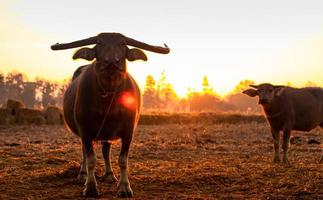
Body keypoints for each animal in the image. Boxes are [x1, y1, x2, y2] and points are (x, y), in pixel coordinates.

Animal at [51, 32, 170, 198]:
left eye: (122, 44)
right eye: (100, 43)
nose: (112, 62)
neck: (108, 97)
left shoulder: (128, 131)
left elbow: (123, 160)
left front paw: (124, 187)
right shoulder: (85, 130)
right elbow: (91, 159)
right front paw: (90, 187)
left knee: (106, 149)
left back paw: (109, 174)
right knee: (84, 151)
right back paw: (82, 174)